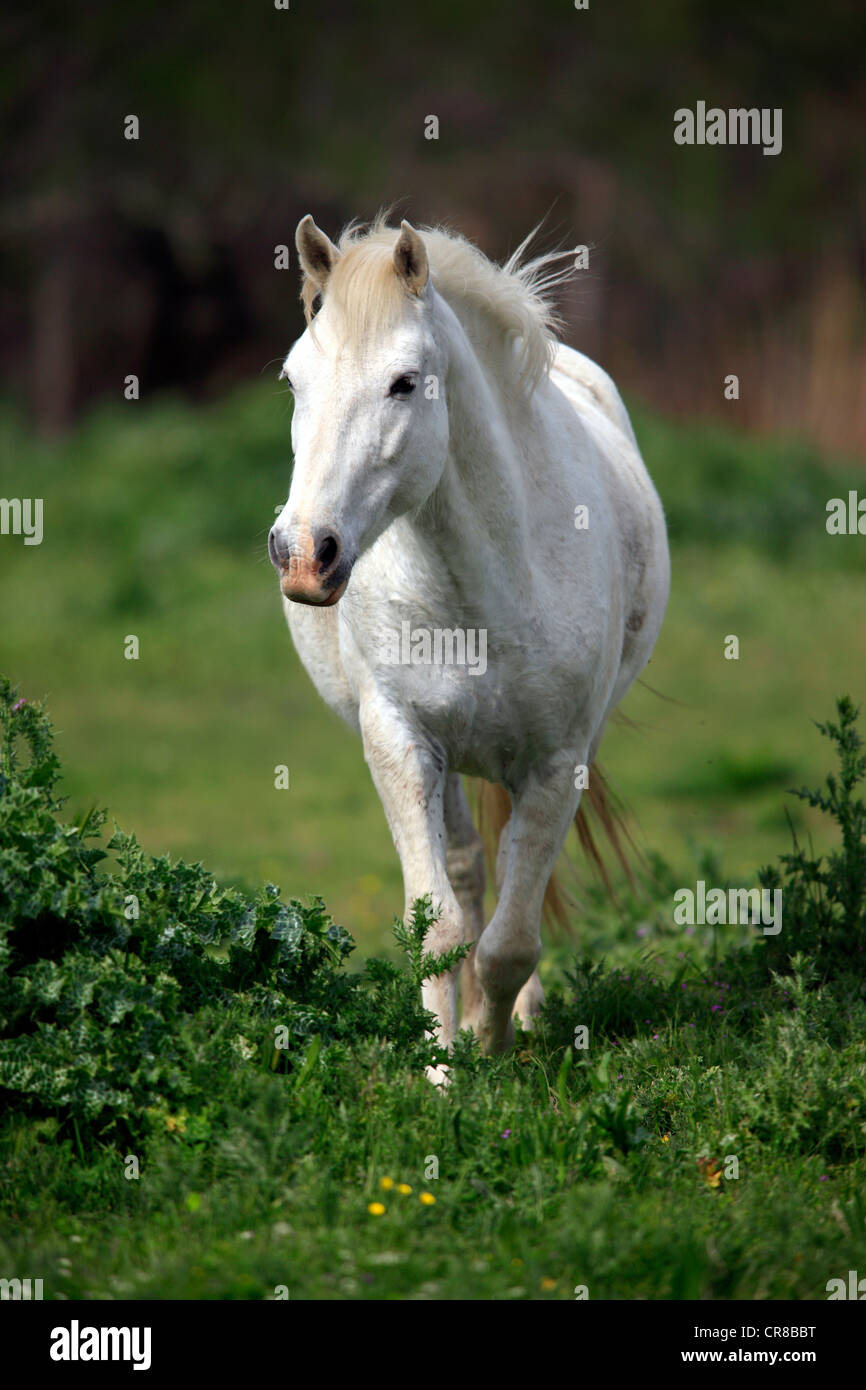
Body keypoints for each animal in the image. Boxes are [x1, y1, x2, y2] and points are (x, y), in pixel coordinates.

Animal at [271, 214, 670, 1073]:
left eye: (403, 383)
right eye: (292, 380)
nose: (304, 554)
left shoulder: (556, 764)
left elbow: (511, 941)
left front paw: (496, 1046)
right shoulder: (400, 744)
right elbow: (441, 926)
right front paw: (444, 1068)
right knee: (468, 870)